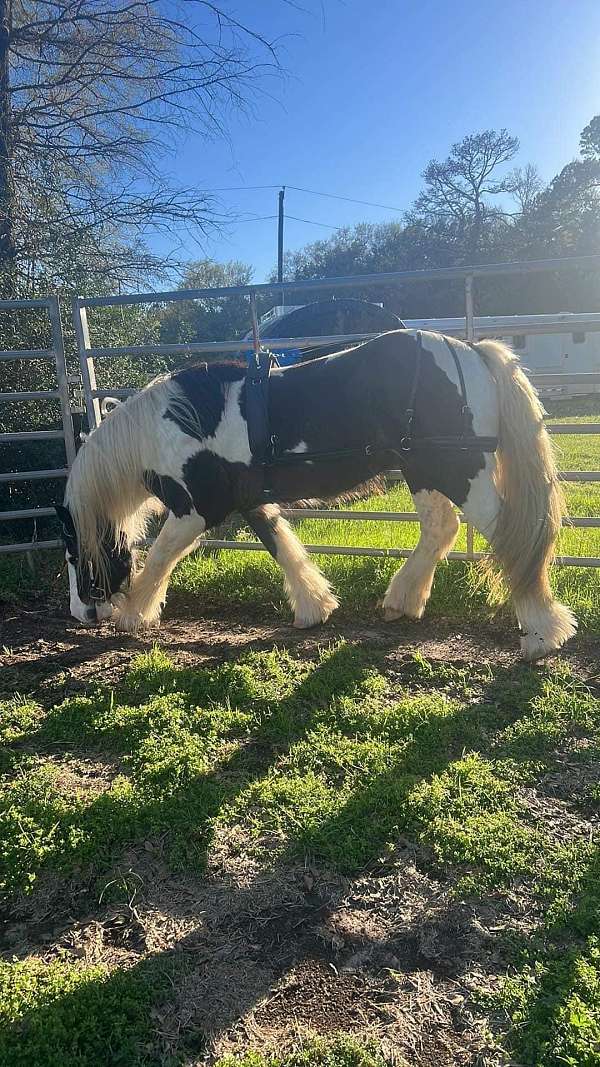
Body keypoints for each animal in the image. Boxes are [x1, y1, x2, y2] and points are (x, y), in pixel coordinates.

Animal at [56, 326, 576, 657]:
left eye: (75, 550)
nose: (81, 613)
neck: (172, 426)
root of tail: (468, 350)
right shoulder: (253, 503)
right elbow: (283, 548)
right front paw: (314, 608)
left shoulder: (197, 509)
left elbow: (162, 555)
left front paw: (134, 614)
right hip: (424, 470)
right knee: (440, 528)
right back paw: (402, 601)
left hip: (459, 470)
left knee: (513, 537)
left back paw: (542, 633)